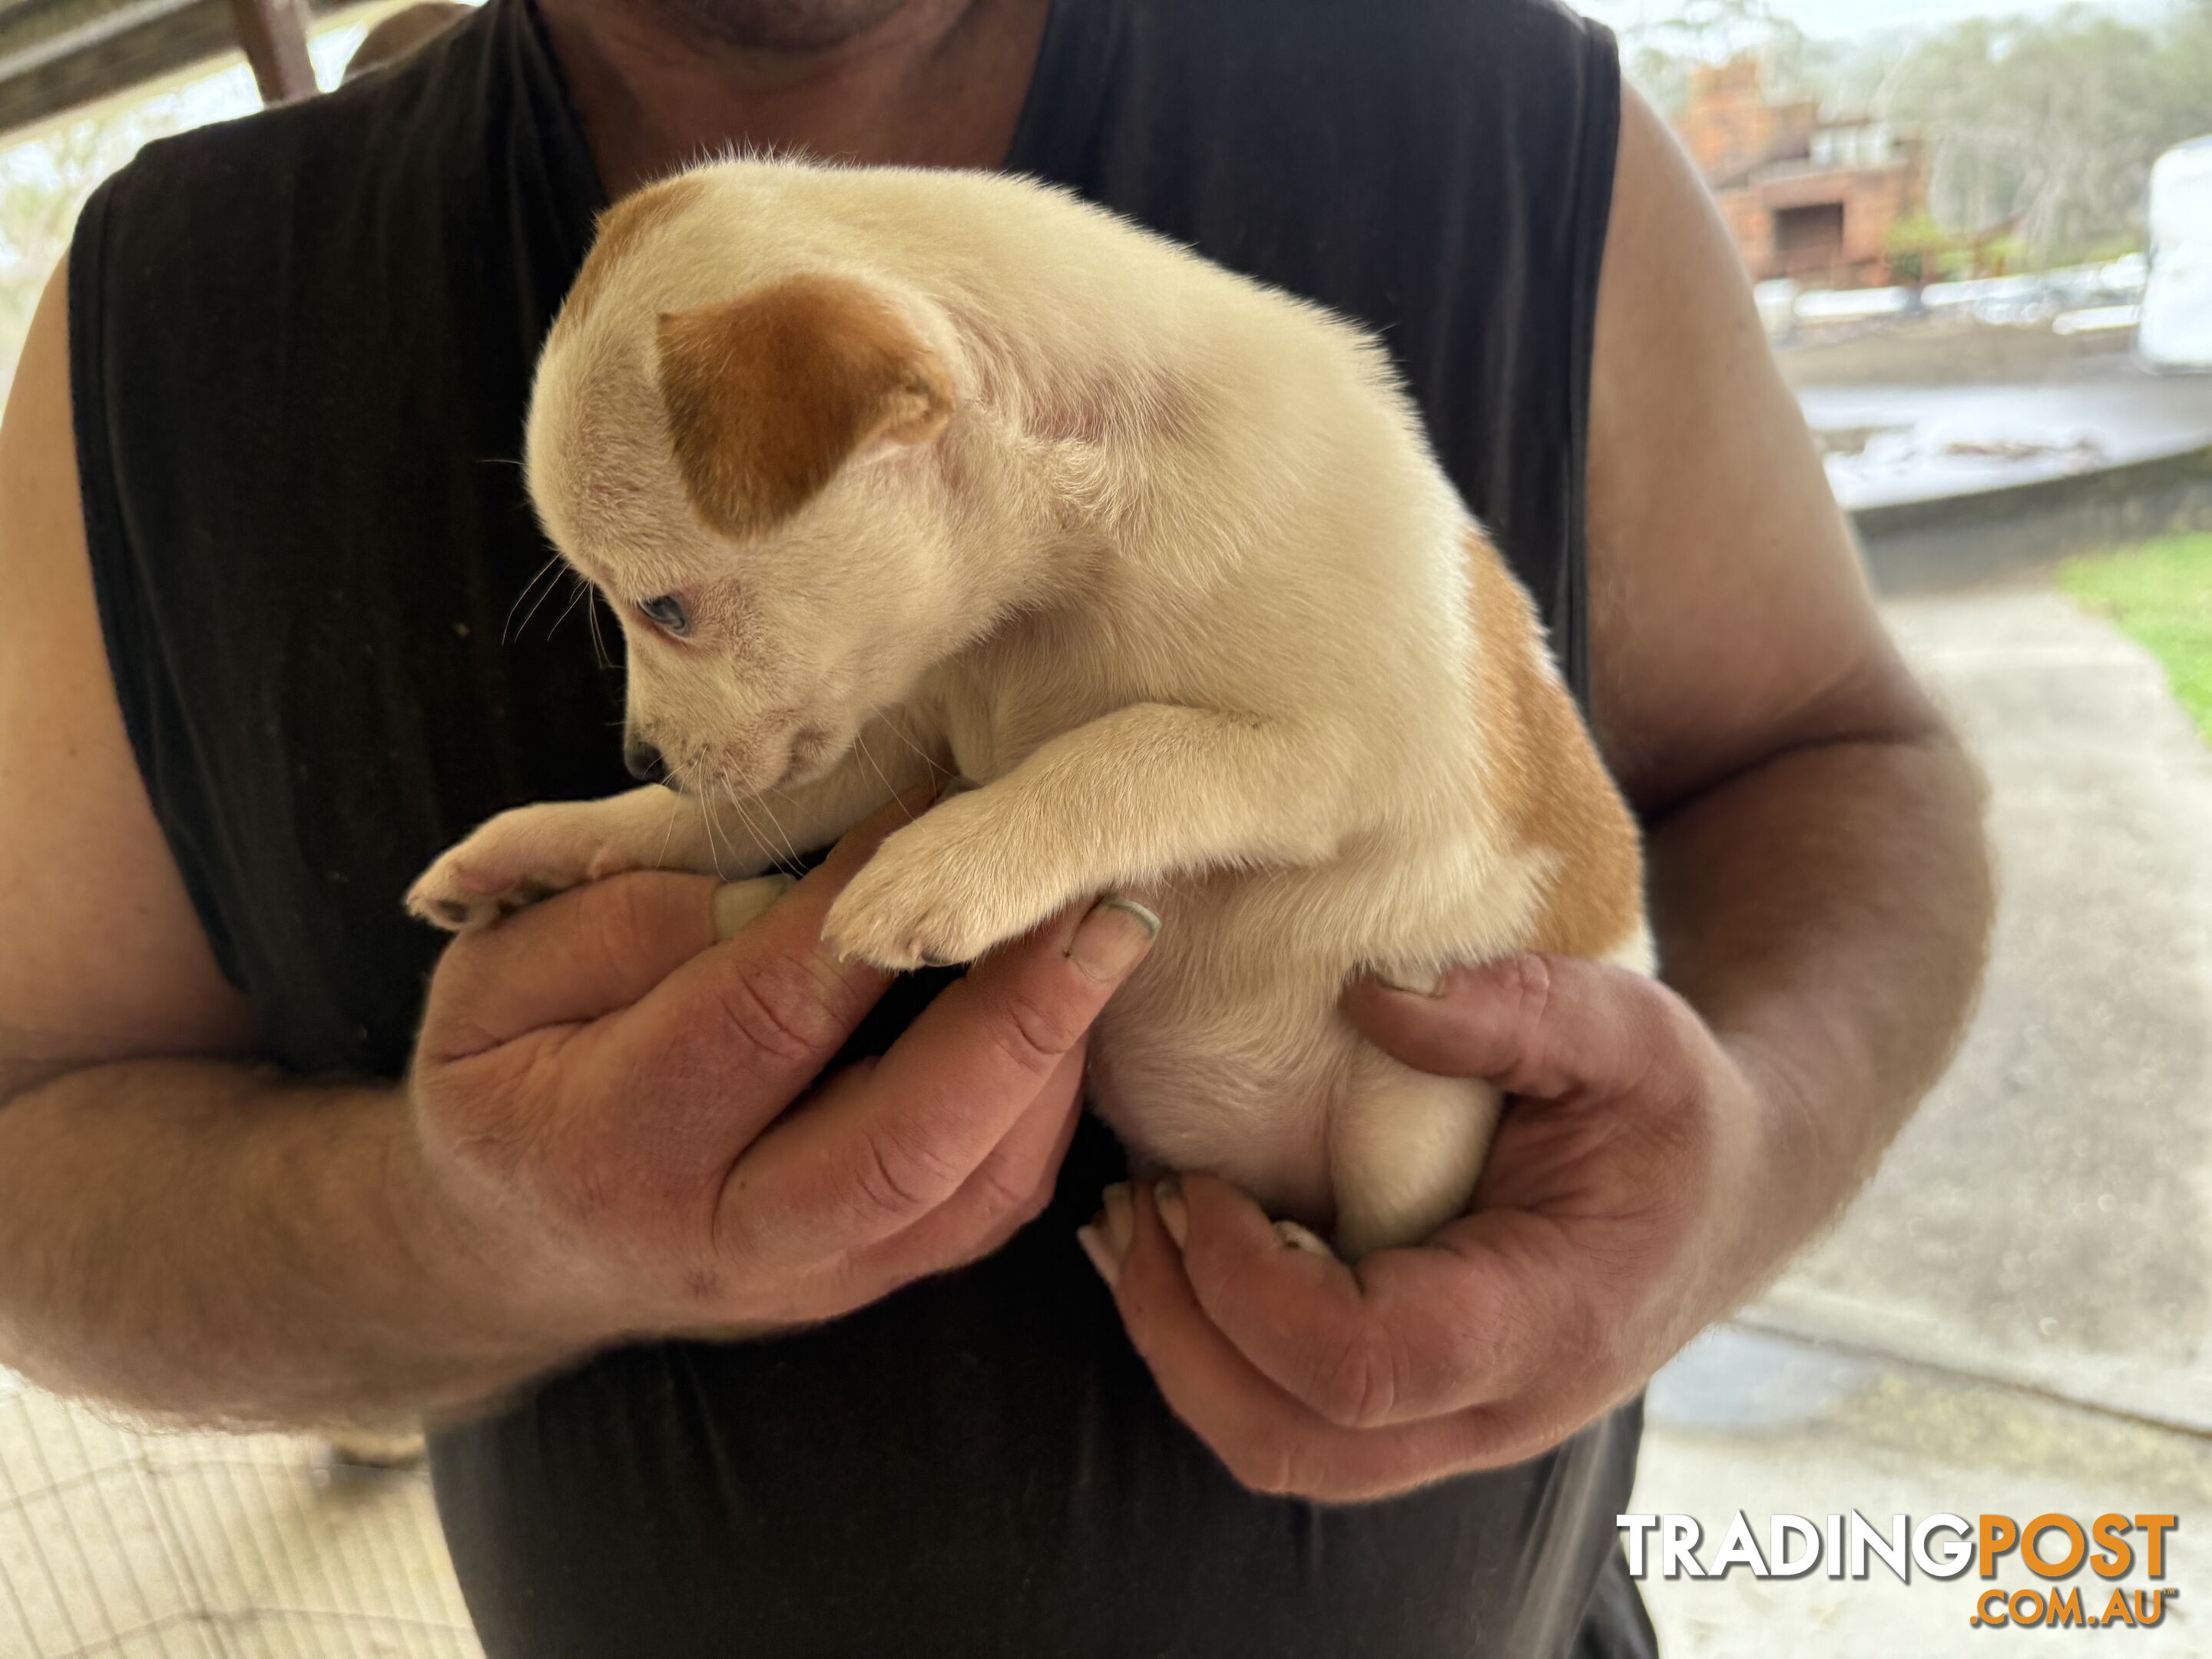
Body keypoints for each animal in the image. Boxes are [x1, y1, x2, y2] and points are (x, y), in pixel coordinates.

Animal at [406, 166, 1645, 1256]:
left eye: (663, 607)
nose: (641, 755)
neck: (1054, 585)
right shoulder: (887, 743)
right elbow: (702, 826)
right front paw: (540, 846)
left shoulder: (1317, 758)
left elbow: (1128, 748)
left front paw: (947, 864)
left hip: (1416, 1114)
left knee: (1382, 1223)